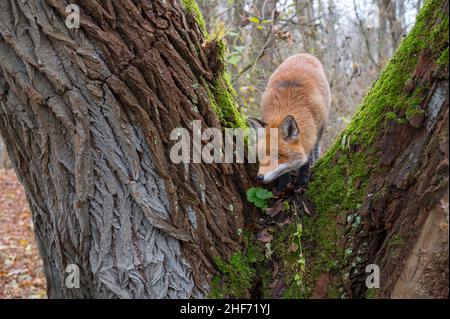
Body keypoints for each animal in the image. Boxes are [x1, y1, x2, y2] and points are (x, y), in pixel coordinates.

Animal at [246, 53, 330, 186]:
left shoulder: (312, 131)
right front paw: (282, 186)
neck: (286, 107)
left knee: (317, 146)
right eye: (261, 155)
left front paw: (302, 181)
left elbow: (307, 158)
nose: (259, 177)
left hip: (322, 124)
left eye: (278, 156)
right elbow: (283, 172)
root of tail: (304, 54)